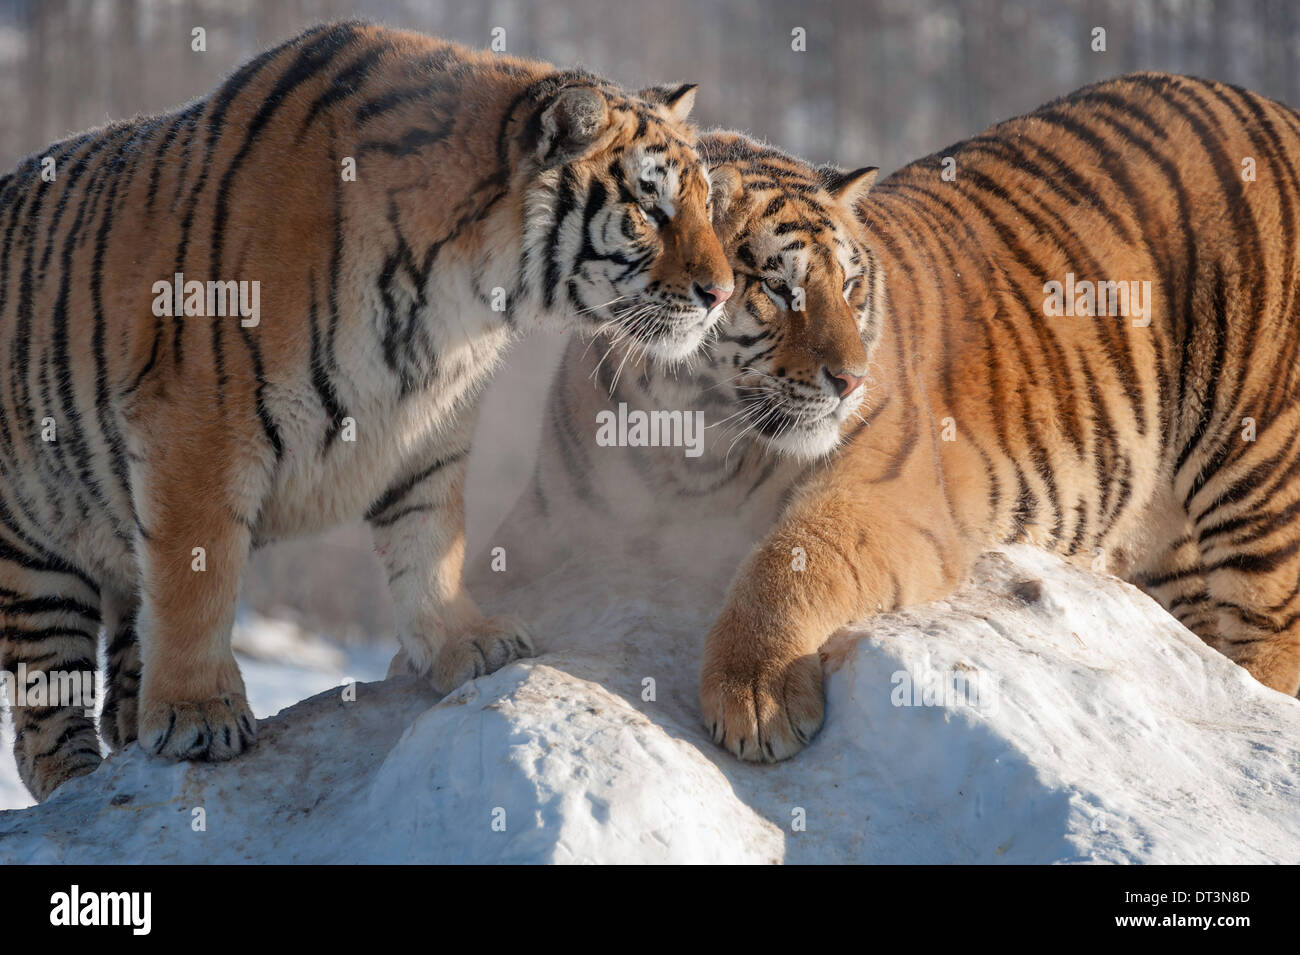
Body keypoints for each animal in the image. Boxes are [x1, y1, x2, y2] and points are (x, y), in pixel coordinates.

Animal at [0, 18, 733, 805]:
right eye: (651, 211)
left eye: (705, 206)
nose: (721, 294)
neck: (461, 300)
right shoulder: (196, 430)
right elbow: (195, 578)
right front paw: (199, 714)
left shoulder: (428, 427)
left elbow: (431, 539)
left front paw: (467, 642)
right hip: (34, 553)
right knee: (45, 720)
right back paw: (83, 779)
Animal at [488, 70, 1300, 764]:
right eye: (775, 289)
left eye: (849, 285)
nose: (852, 380)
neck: (691, 442)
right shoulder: (559, 511)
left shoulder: (885, 493)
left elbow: (790, 562)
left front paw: (757, 695)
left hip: (1258, 474)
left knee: (1270, 638)